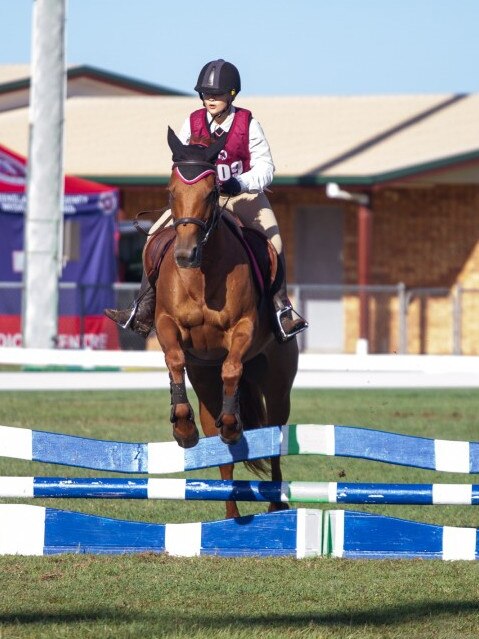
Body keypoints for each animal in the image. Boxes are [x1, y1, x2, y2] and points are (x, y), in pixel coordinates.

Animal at [144, 129, 298, 520]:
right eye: (171, 191)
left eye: (212, 192)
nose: (184, 255)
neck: (202, 273)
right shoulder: (167, 326)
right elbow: (174, 360)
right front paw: (182, 427)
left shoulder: (243, 329)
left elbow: (231, 366)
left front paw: (233, 424)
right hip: (205, 382)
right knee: (219, 447)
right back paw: (230, 514)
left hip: (277, 384)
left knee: (273, 438)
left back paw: (274, 503)